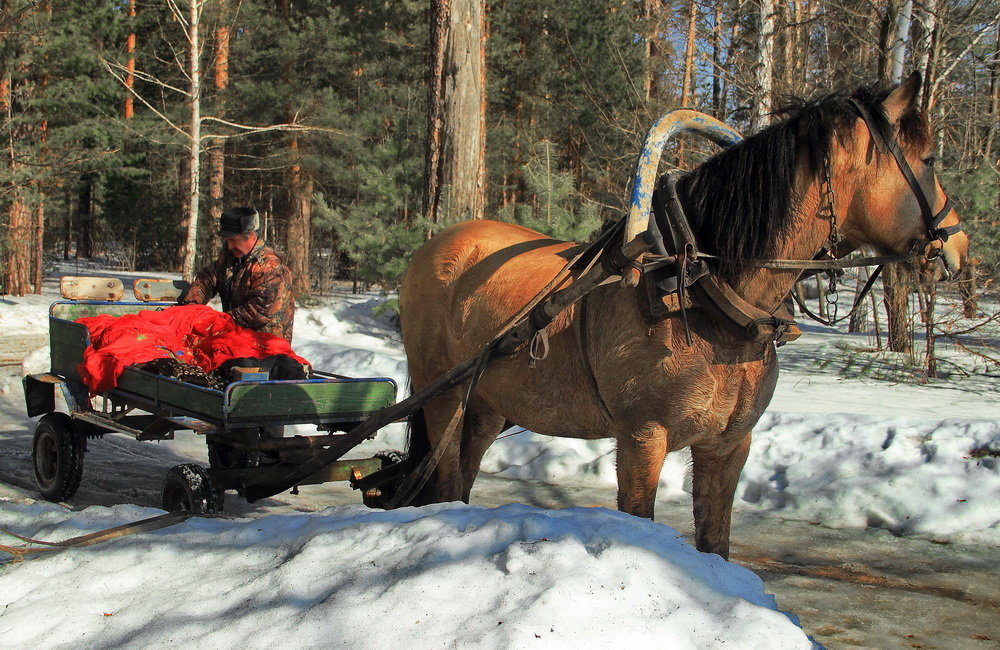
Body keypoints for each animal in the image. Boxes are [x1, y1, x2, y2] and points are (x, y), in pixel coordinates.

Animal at [396, 72, 968, 556]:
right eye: (929, 159)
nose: (959, 246)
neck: (701, 289)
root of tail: (436, 246)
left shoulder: (729, 444)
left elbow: (715, 540)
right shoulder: (642, 438)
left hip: (485, 406)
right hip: (442, 395)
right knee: (445, 479)